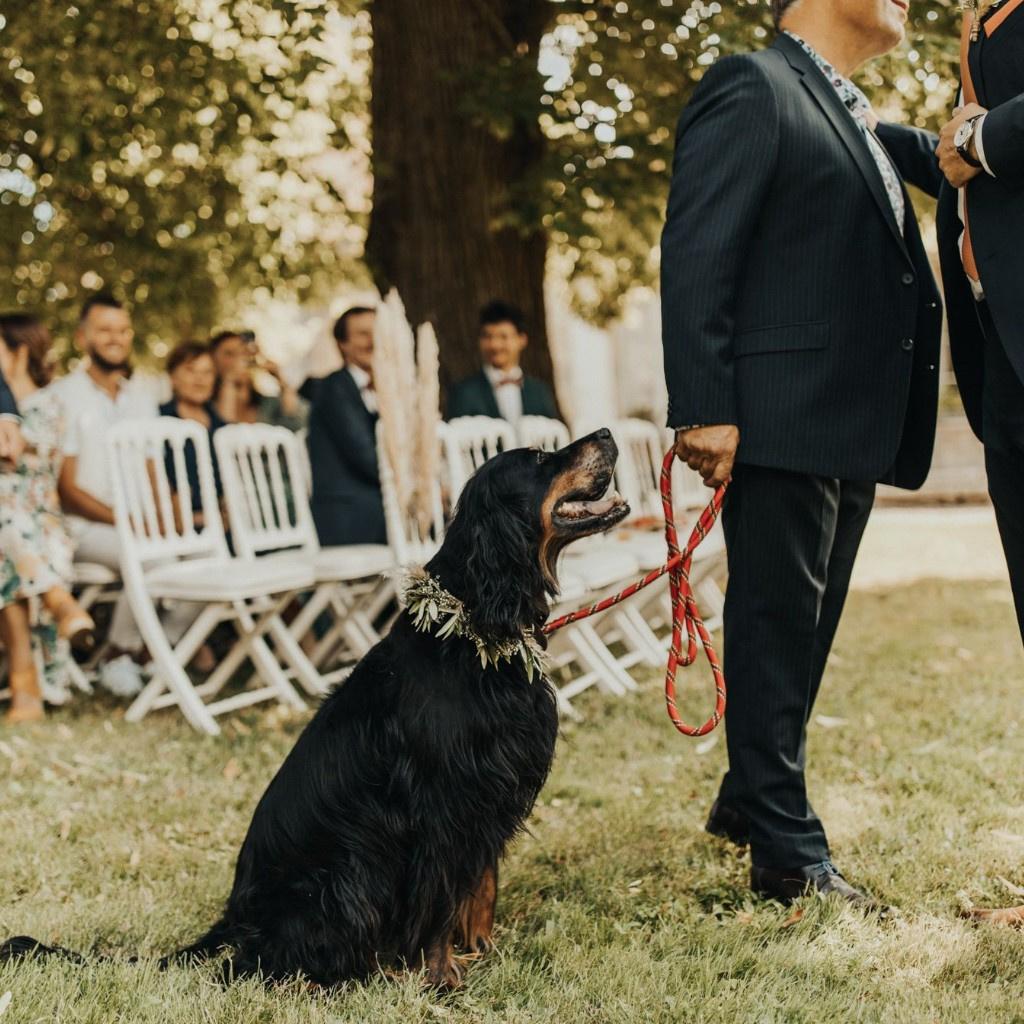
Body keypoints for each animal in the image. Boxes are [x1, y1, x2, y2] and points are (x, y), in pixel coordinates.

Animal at [2, 428, 630, 987]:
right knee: (251, 967)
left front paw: (482, 951)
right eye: (541, 458)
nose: (605, 432)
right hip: (349, 872)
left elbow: (480, 885)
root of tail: (236, 916)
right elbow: (439, 898)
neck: (473, 627)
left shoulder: (490, 788)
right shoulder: (444, 799)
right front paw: (440, 975)